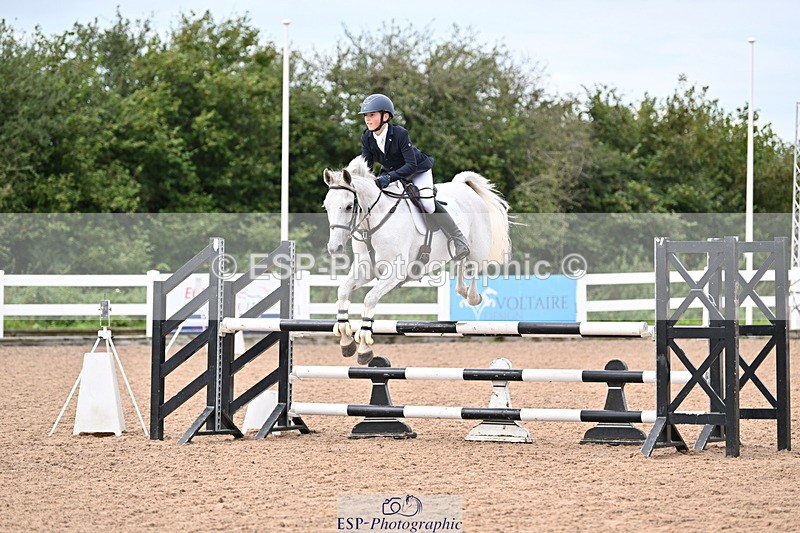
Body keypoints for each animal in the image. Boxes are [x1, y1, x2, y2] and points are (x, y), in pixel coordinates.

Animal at [322, 156, 511, 364]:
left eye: (349, 206)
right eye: (326, 206)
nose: (334, 248)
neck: (375, 222)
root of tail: (464, 186)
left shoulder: (395, 272)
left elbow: (370, 298)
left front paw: (364, 347)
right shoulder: (366, 268)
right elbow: (343, 291)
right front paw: (346, 341)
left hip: (478, 248)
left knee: (475, 267)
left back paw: (473, 297)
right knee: (461, 260)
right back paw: (462, 288)